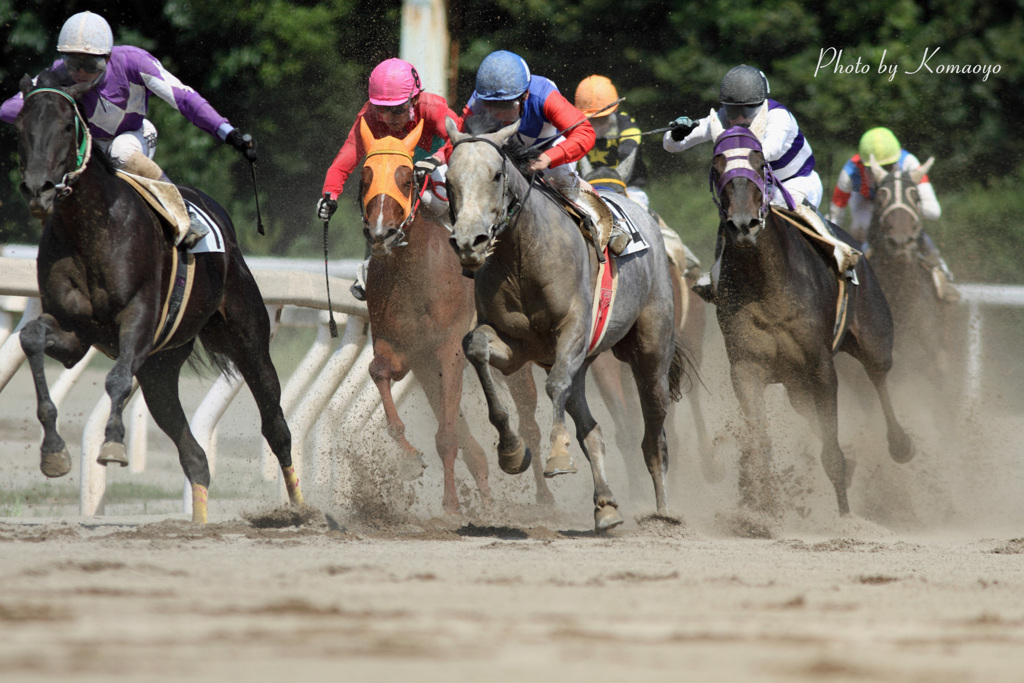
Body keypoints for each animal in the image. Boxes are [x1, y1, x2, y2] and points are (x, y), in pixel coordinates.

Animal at [14, 69, 301, 520]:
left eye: (65, 125)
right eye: (19, 127)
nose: (37, 188)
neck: (90, 229)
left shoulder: (139, 316)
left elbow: (116, 377)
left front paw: (113, 444)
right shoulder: (75, 333)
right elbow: (31, 339)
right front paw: (54, 452)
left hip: (247, 337)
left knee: (276, 425)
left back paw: (302, 509)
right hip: (160, 370)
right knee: (194, 456)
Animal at [358, 117, 557, 516]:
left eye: (406, 178)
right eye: (365, 177)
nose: (382, 233)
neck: (412, 276)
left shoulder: (448, 350)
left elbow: (448, 436)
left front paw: (450, 505)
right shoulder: (403, 351)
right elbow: (379, 372)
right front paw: (409, 459)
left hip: (515, 361)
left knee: (529, 425)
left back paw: (544, 497)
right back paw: (486, 496)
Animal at [444, 117, 684, 532]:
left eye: (496, 175)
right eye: (449, 180)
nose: (469, 242)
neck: (522, 256)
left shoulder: (572, 330)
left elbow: (555, 384)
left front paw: (557, 455)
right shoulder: (515, 346)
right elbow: (476, 348)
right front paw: (511, 451)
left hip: (652, 352)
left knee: (654, 436)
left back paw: (663, 512)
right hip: (584, 364)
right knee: (592, 429)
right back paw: (606, 505)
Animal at [708, 126, 917, 524]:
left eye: (760, 163)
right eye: (717, 165)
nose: (743, 224)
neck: (767, 283)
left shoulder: (820, 366)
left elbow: (832, 451)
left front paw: (846, 517)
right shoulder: (746, 367)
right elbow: (760, 442)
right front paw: (760, 511)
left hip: (873, 337)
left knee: (878, 375)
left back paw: (901, 445)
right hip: (795, 384)